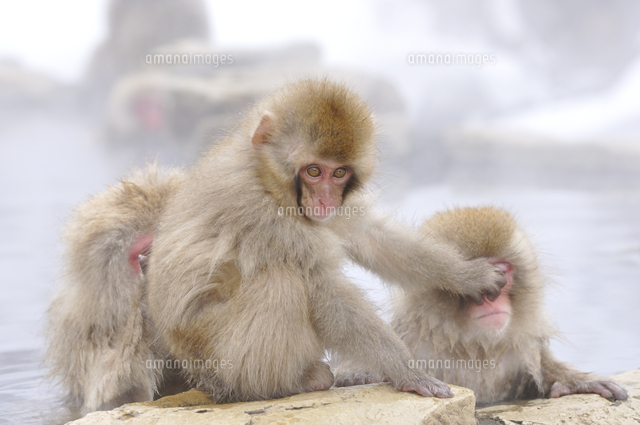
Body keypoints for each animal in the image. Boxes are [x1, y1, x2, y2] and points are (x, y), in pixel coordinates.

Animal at [46, 79, 507, 413]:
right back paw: (284, 384)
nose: (324, 200)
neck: (266, 176)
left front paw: (470, 276)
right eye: (313, 170)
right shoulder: (265, 216)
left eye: (339, 173)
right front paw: (408, 370)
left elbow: (371, 237)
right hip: (215, 363)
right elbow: (323, 291)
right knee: (282, 284)